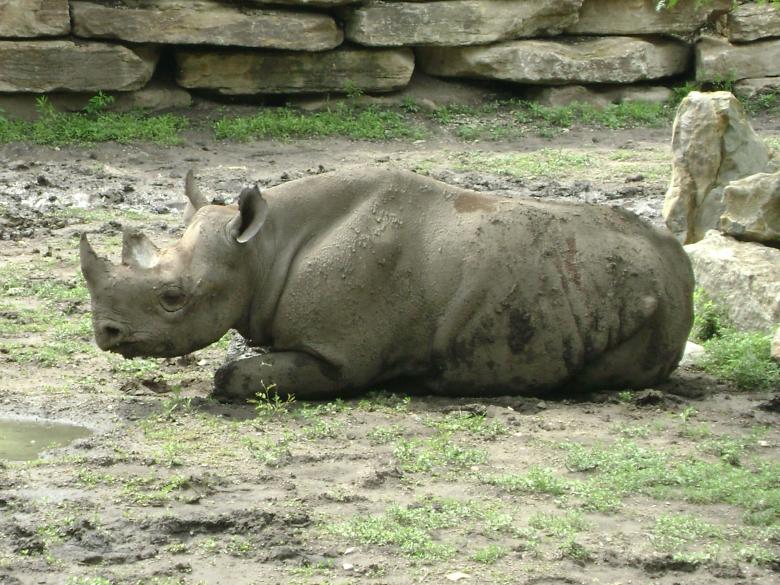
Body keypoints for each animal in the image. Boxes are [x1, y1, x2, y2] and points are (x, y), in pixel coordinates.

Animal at [80, 167, 694, 401]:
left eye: (172, 298)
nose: (105, 334)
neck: (260, 250)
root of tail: (681, 264)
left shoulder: (337, 357)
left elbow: (231, 375)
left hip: (645, 301)